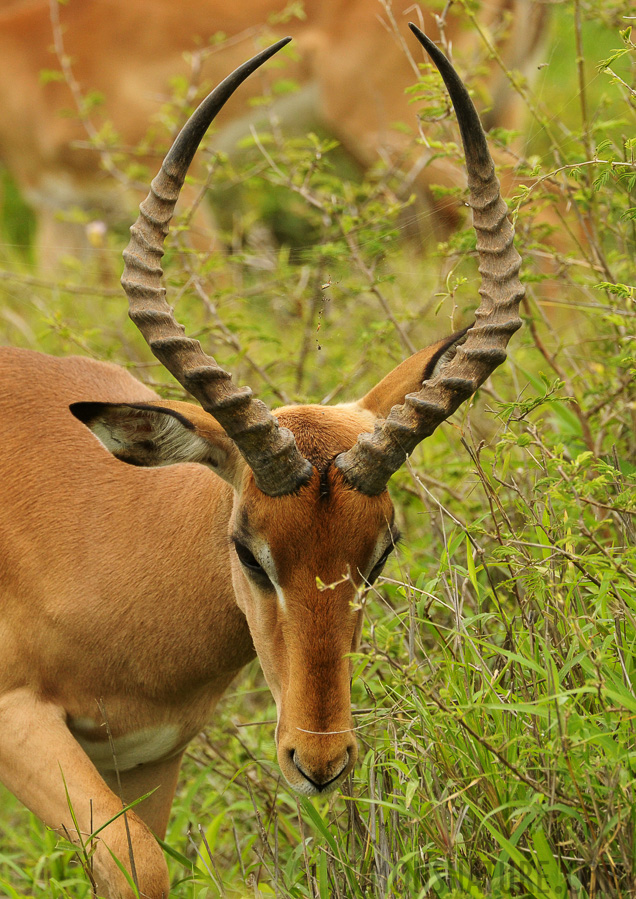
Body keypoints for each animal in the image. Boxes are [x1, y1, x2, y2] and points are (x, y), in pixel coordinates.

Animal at [0, 24, 524, 896]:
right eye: (249, 549)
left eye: (381, 553)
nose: (319, 759)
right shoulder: (20, 717)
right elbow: (139, 866)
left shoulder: (148, 757)